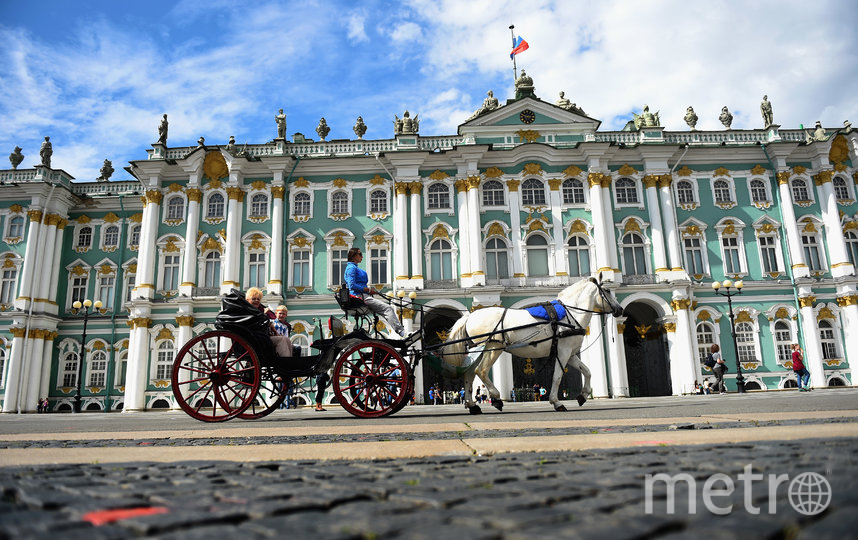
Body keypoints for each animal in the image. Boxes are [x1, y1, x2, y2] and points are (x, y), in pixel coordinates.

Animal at [442, 278, 620, 414]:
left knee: (469, 374)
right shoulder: (562, 352)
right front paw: (557, 402)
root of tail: (470, 316)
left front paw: (582, 396)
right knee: (481, 371)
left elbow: (587, 371)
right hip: (492, 348)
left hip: (478, 350)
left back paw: (472, 406)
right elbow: (557, 377)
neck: (570, 314)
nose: (619, 309)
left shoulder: (570, 354)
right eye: (607, 290)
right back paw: (497, 399)